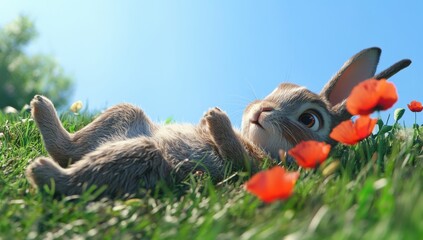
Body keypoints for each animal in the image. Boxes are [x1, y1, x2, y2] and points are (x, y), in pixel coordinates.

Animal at [25, 46, 410, 197]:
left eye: (310, 119)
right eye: (279, 88)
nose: (261, 110)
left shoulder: (253, 167)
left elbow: (234, 153)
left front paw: (214, 119)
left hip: (143, 156)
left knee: (70, 177)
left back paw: (42, 170)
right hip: (125, 115)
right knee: (68, 150)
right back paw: (42, 109)